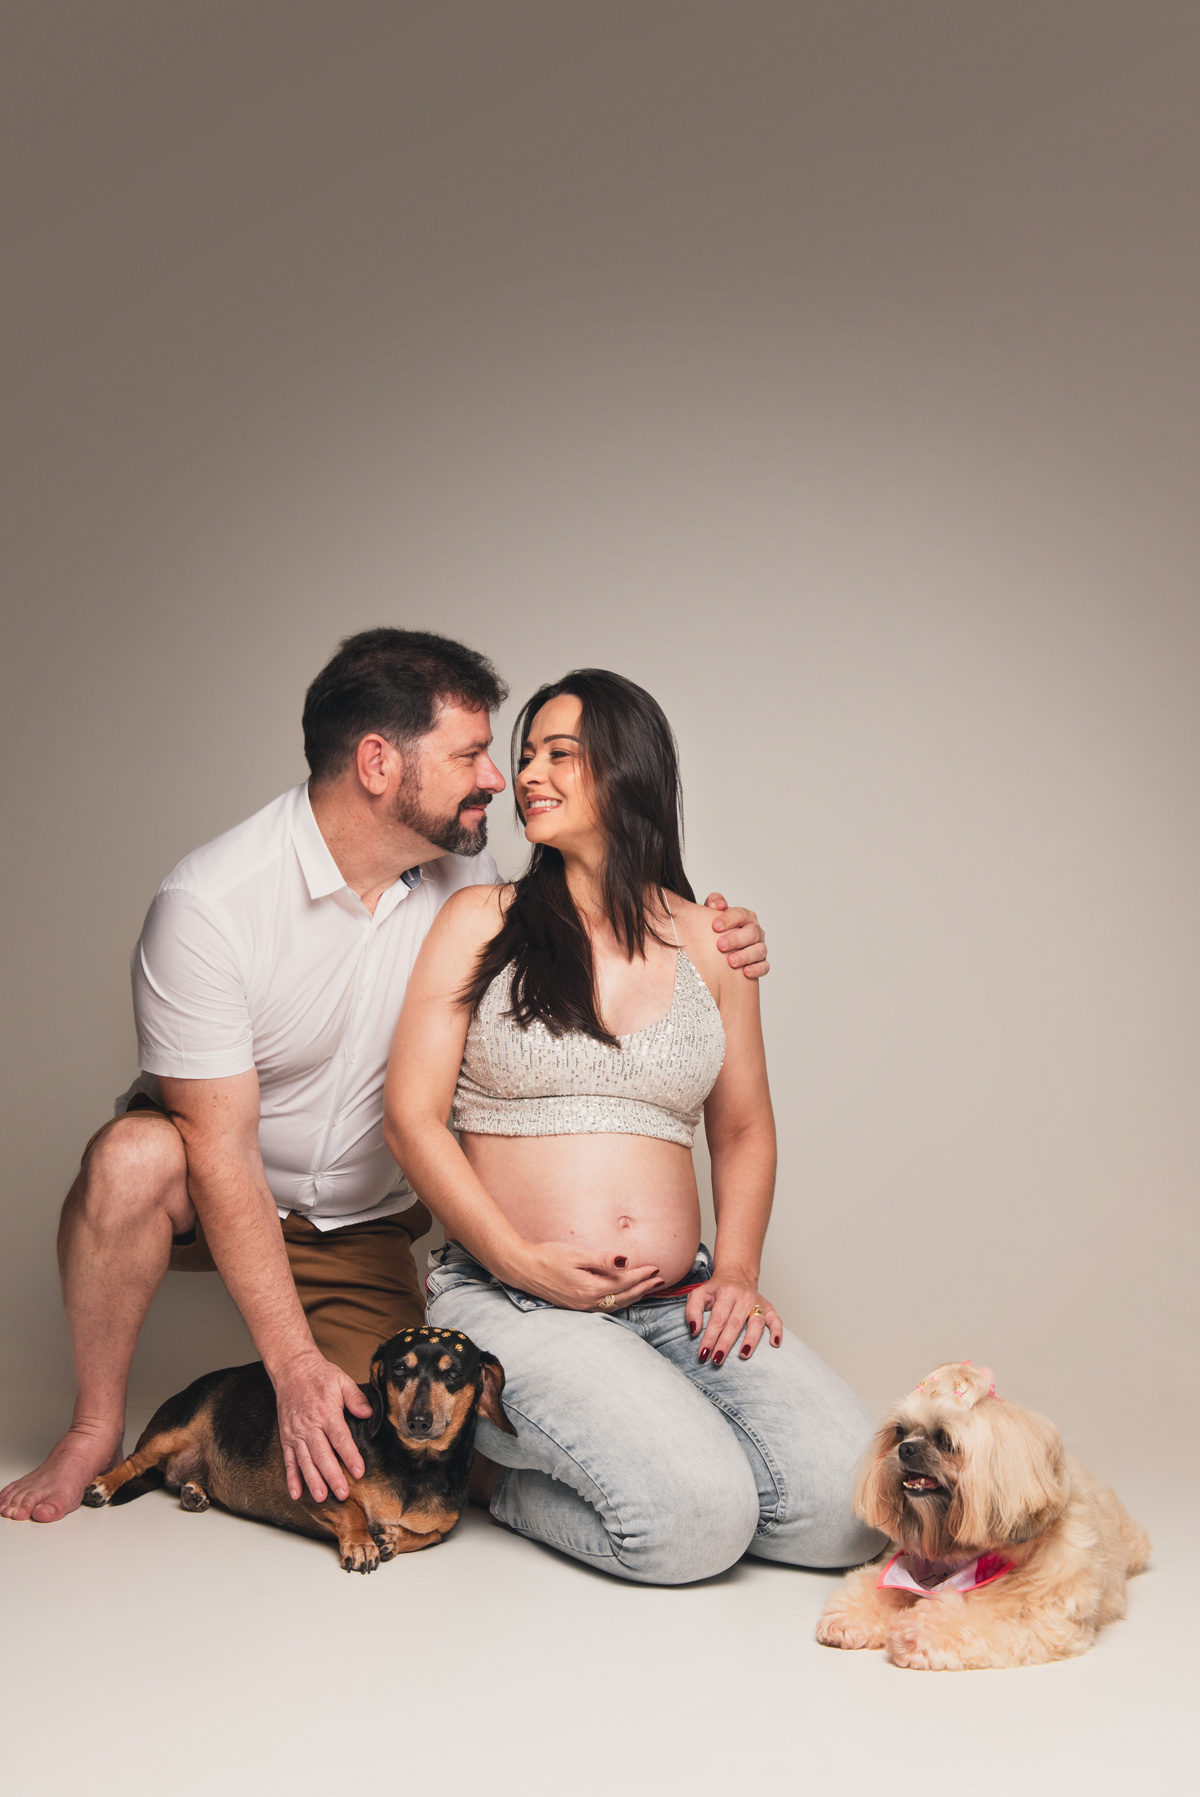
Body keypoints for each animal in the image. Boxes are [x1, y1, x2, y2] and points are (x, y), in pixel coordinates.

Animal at [83, 1325, 516, 1572]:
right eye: (400, 1369)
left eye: (453, 1373)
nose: (419, 1421)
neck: (415, 1467)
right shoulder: (318, 1485)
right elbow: (351, 1509)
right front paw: (363, 1543)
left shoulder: (443, 1529)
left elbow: (424, 1536)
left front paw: (390, 1538)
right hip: (172, 1430)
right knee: (134, 1462)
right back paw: (102, 1486)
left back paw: (195, 1491)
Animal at [816, 1361, 1150, 1668]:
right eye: (899, 1431)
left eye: (945, 1440)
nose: (906, 1448)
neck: (958, 1557)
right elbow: (878, 1587)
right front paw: (851, 1614)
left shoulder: (1035, 1612)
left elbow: (978, 1615)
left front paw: (913, 1632)